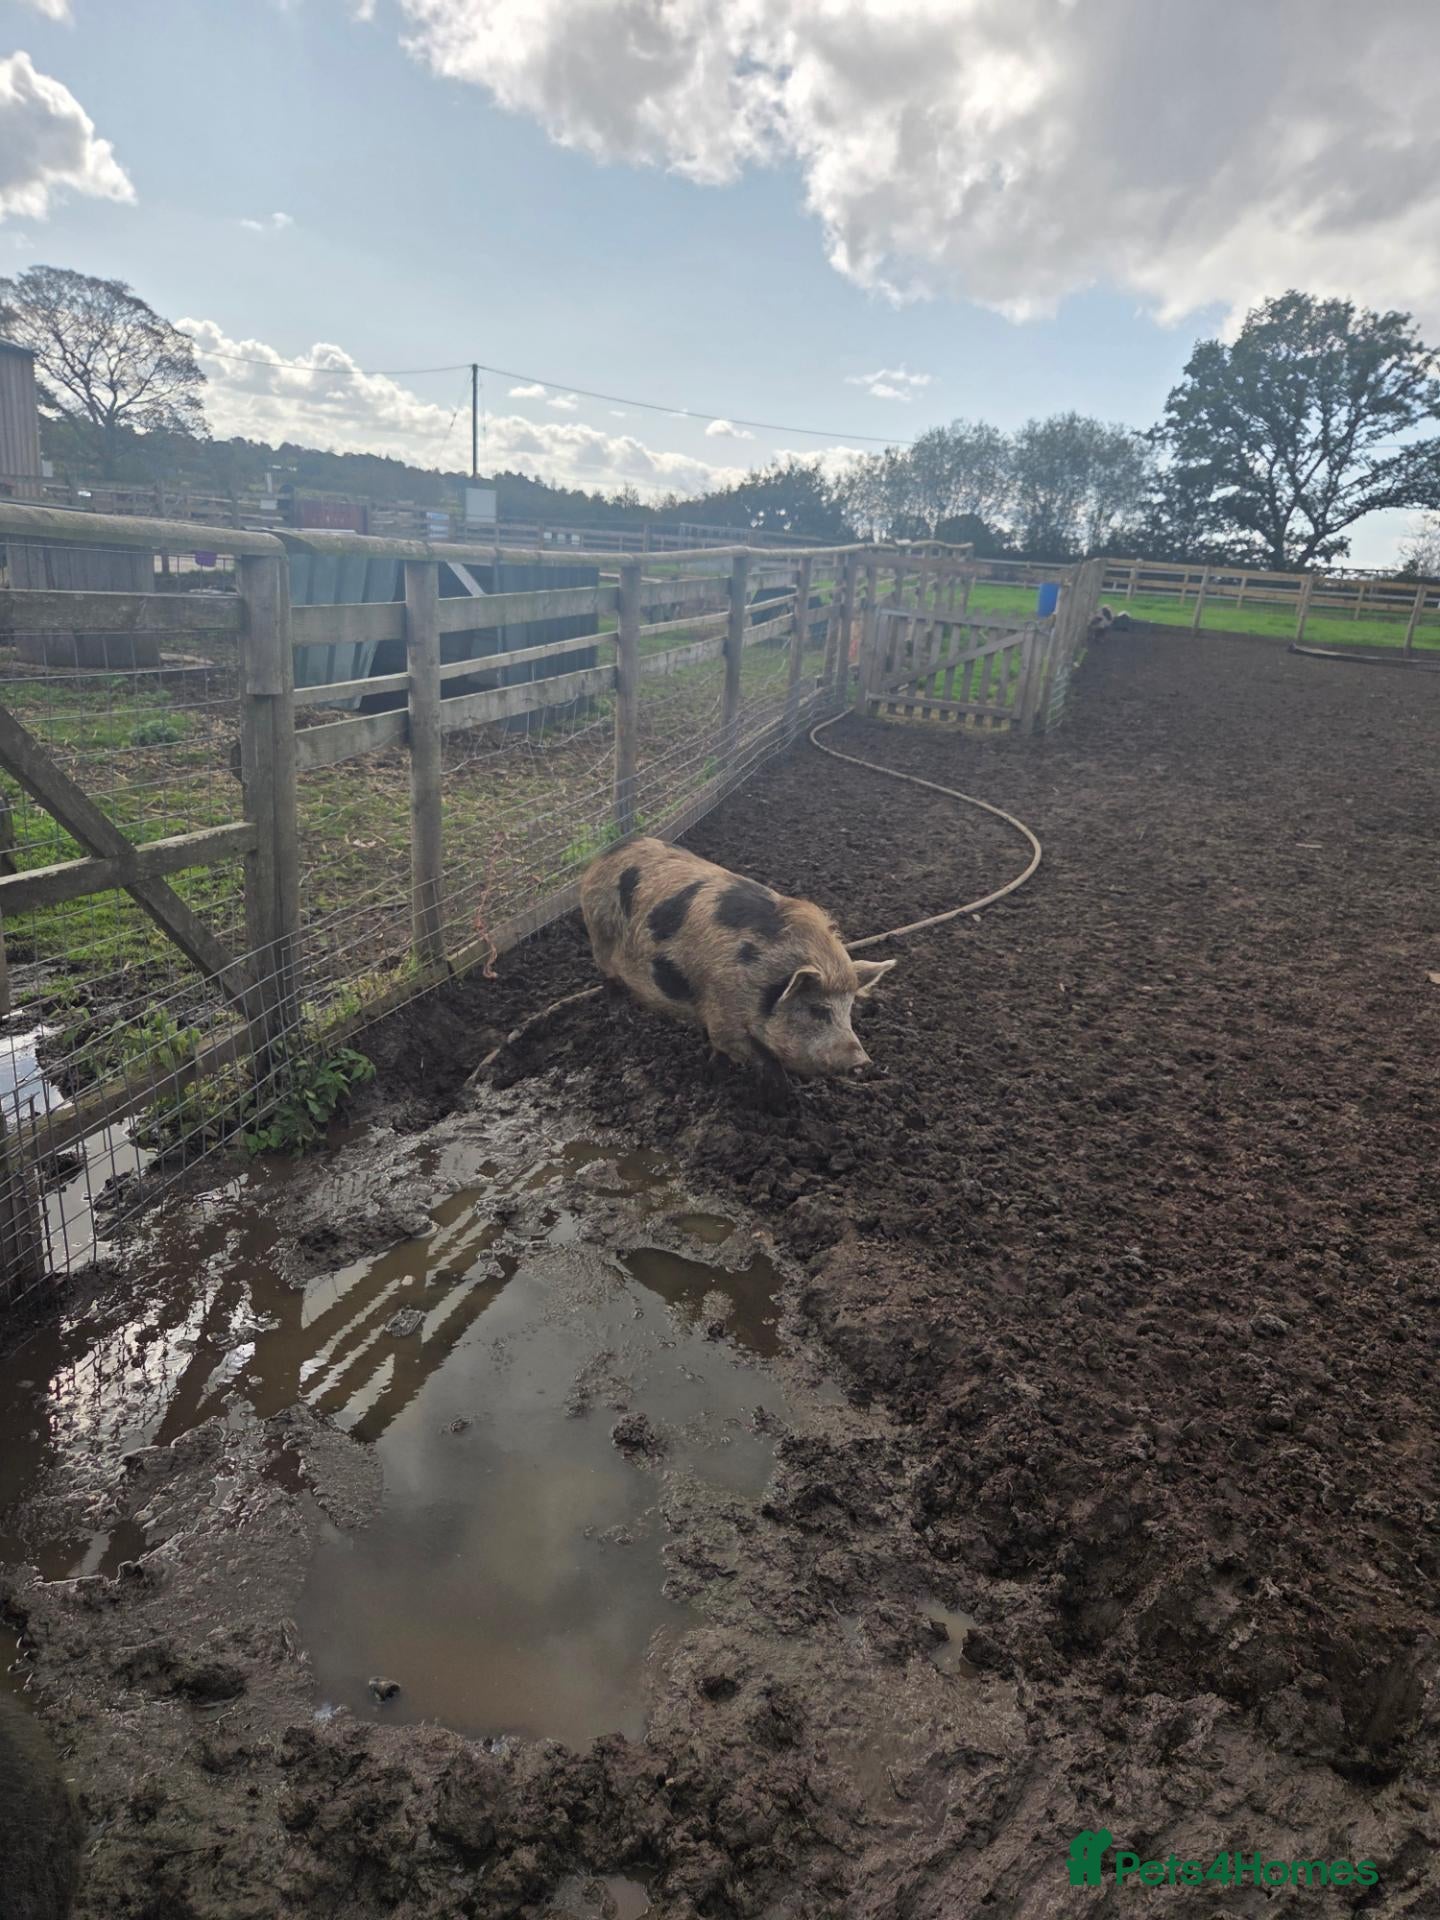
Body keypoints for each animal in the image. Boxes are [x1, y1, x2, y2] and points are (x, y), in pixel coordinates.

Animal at [581, 837, 895, 1079]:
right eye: (818, 1009)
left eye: (849, 1009)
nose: (863, 1062)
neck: (765, 982)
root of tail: (604, 856)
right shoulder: (725, 1019)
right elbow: (768, 1064)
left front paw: (714, 1068)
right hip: (600, 937)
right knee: (609, 981)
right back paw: (623, 1020)